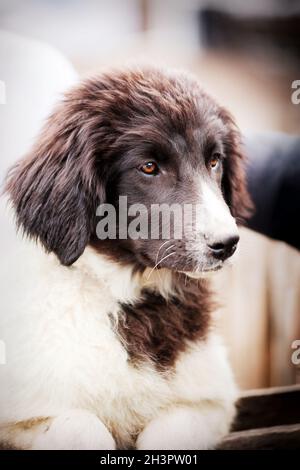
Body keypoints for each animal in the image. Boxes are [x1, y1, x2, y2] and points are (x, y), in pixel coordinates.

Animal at [0, 65, 251, 448]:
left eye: (214, 161)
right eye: (148, 167)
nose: (228, 244)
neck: (128, 296)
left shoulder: (209, 401)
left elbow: (167, 431)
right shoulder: (25, 414)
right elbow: (83, 425)